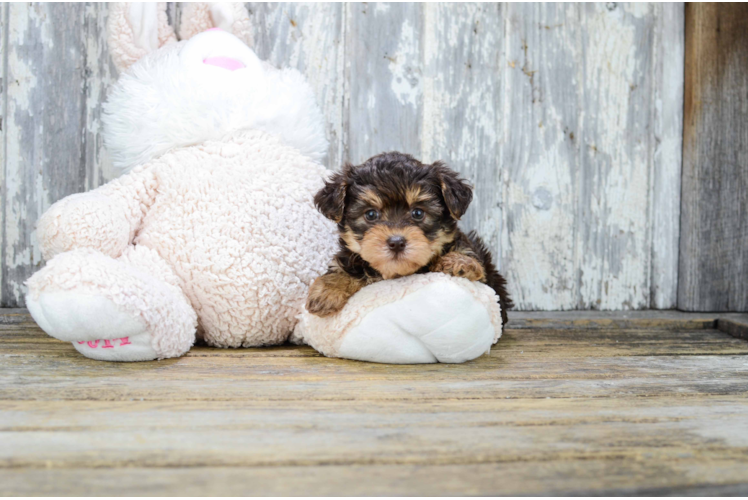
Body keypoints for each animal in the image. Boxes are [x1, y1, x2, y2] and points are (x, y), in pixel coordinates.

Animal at [306, 150, 512, 326]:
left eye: (418, 213)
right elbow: (344, 268)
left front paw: (459, 262)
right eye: (371, 214)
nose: (396, 242)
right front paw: (327, 291)